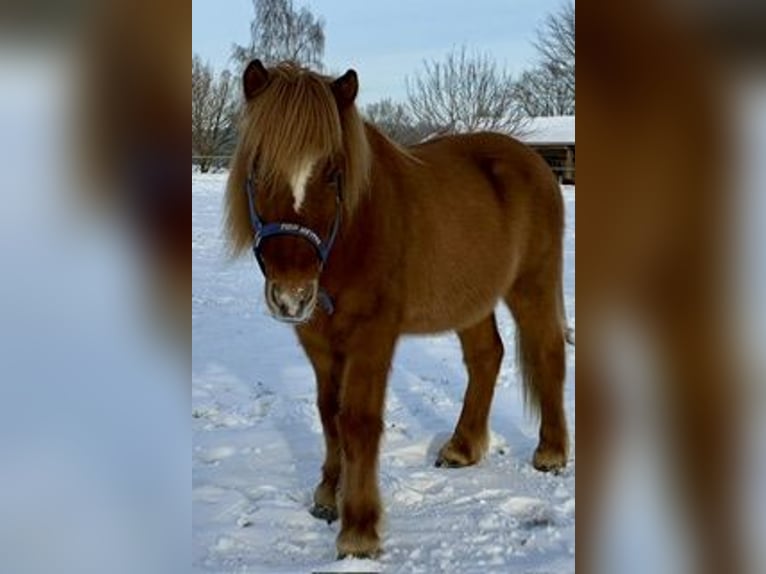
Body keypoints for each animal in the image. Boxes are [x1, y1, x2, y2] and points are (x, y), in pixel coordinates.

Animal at [225, 59, 570, 559]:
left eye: (333, 172)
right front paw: (328, 495)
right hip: (471, 300)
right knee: (486, 357)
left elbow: (358, 421)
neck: (353, 235)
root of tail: (534, 163)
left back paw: (551, 453)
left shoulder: (372, 337)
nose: (292, 295)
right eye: (258, 164)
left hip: (532, 286)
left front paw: (359, 530)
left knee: (547, 354)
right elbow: (328, 413)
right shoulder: (318, 341)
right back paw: (461, 448)